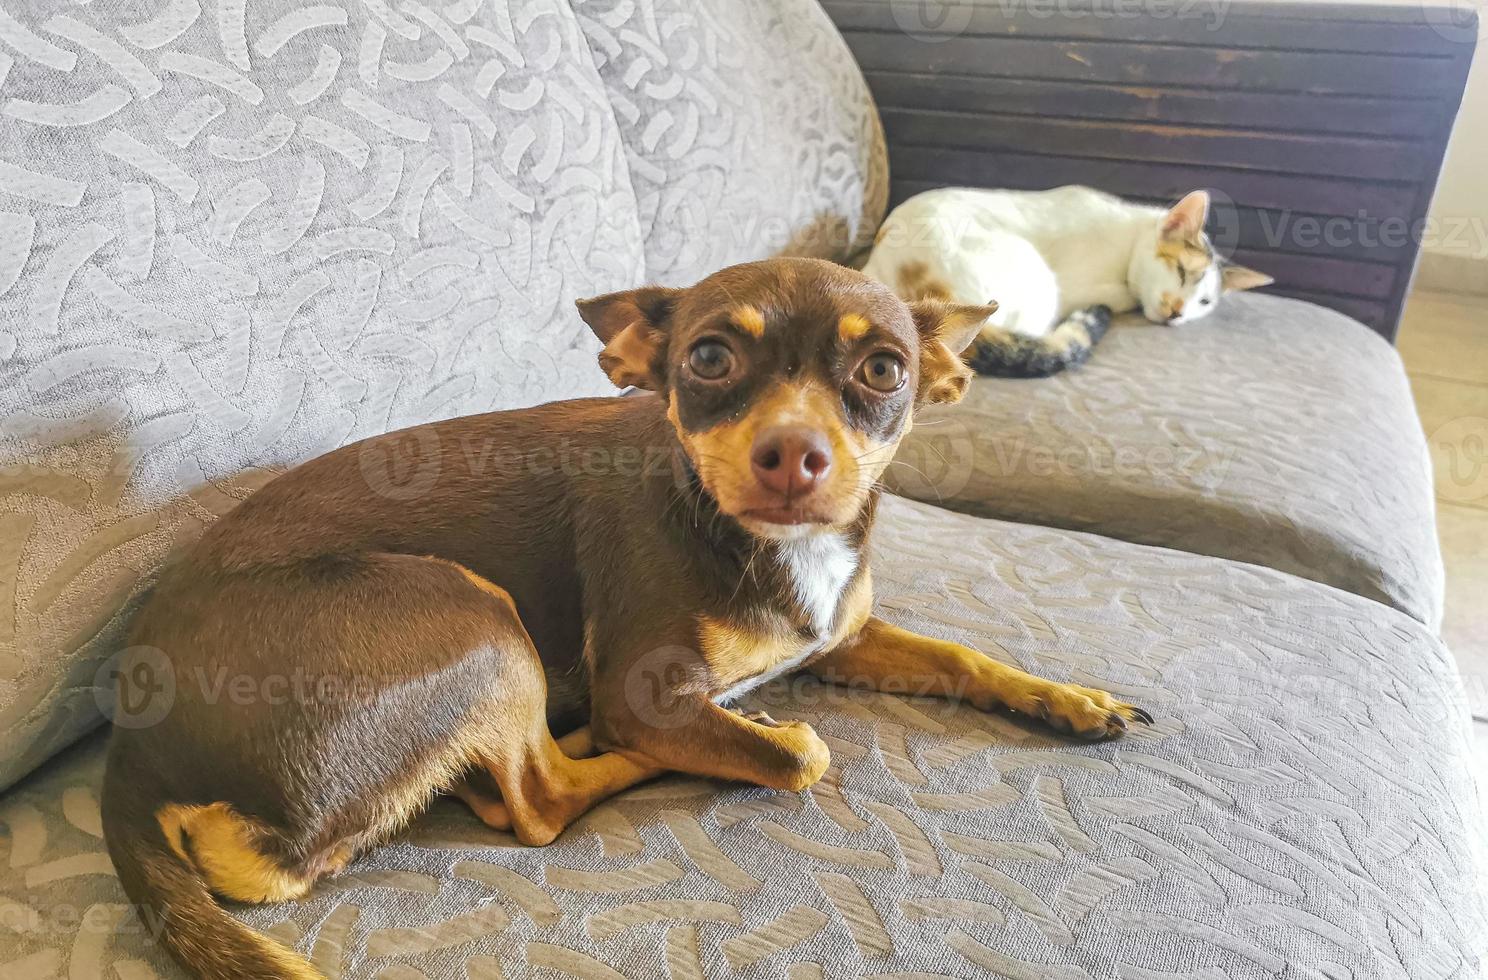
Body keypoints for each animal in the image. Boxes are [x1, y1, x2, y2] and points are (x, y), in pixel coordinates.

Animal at [101, 257, 1148, 975]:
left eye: (885, 371)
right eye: (711, 357)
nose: (793, 454)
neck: (751, 537)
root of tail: (130, 746)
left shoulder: (839, 638)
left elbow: (963, 657)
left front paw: (1071, 700)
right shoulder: (651, 691)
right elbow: (800, 759)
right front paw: (755, 732)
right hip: (473, 616)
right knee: (539, 798)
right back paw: (642, 750)